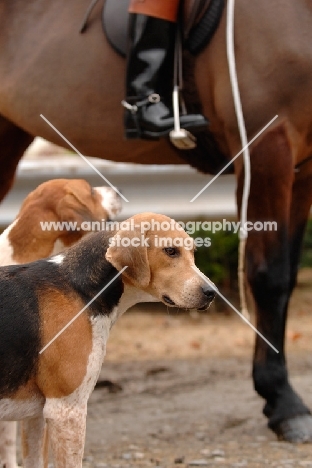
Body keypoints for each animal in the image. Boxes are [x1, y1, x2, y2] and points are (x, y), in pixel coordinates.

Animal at [0, 213, 214, 468]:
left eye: (193, 252)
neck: (81, 289)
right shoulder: (66, 411)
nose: (212, 292)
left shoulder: (36, 417)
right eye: (170, 251)